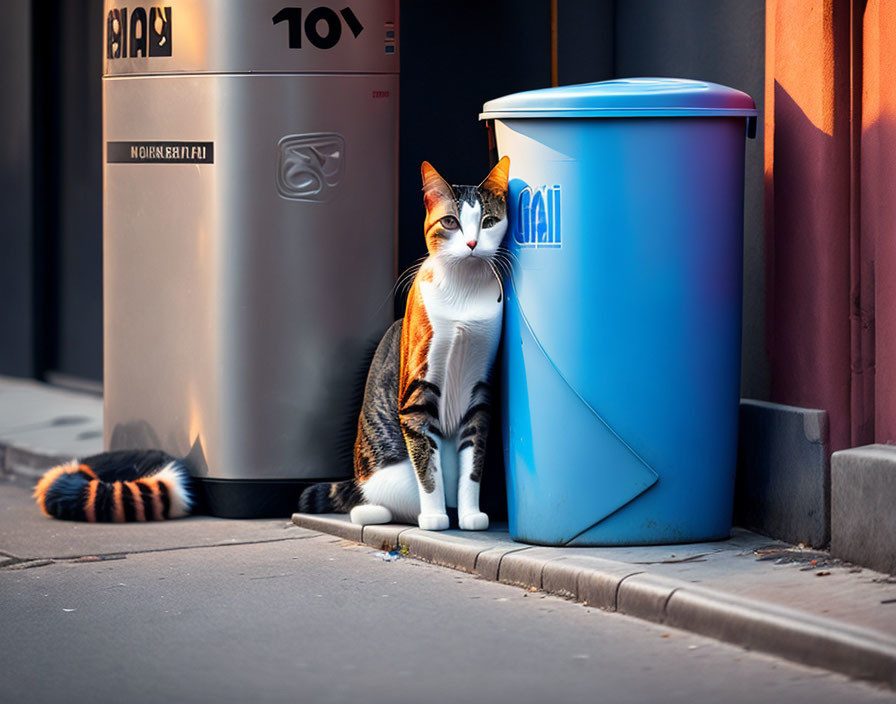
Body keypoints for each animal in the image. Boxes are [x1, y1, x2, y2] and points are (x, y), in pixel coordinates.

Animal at [300, 157, 512, 532]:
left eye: (488, 222)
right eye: (450, 222)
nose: (472, 244)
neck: (464, 291)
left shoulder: (480, 392)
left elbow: (474, 459)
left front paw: (470, 515)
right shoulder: (417, 392)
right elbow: (427, 464)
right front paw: (435, 518)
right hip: (391, 473)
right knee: (383, 501)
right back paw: (379, 511)